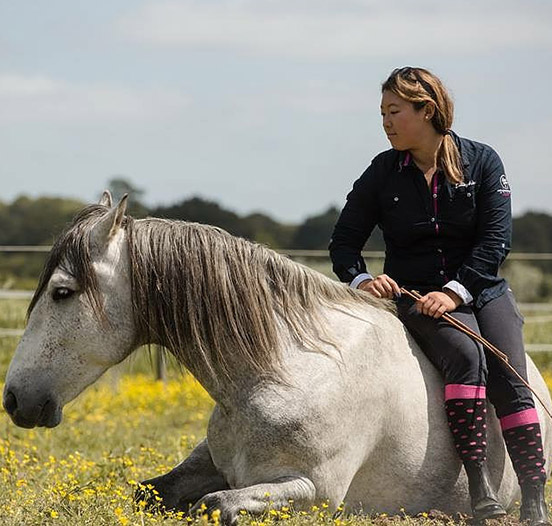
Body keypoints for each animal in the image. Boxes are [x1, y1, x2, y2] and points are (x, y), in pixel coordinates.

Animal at [4, 196, 552, 524]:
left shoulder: (314, 491)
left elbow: (214, 506)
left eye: (62, 292)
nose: (14, 399)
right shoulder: (215, 465)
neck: (286, 370)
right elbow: (148, 492)